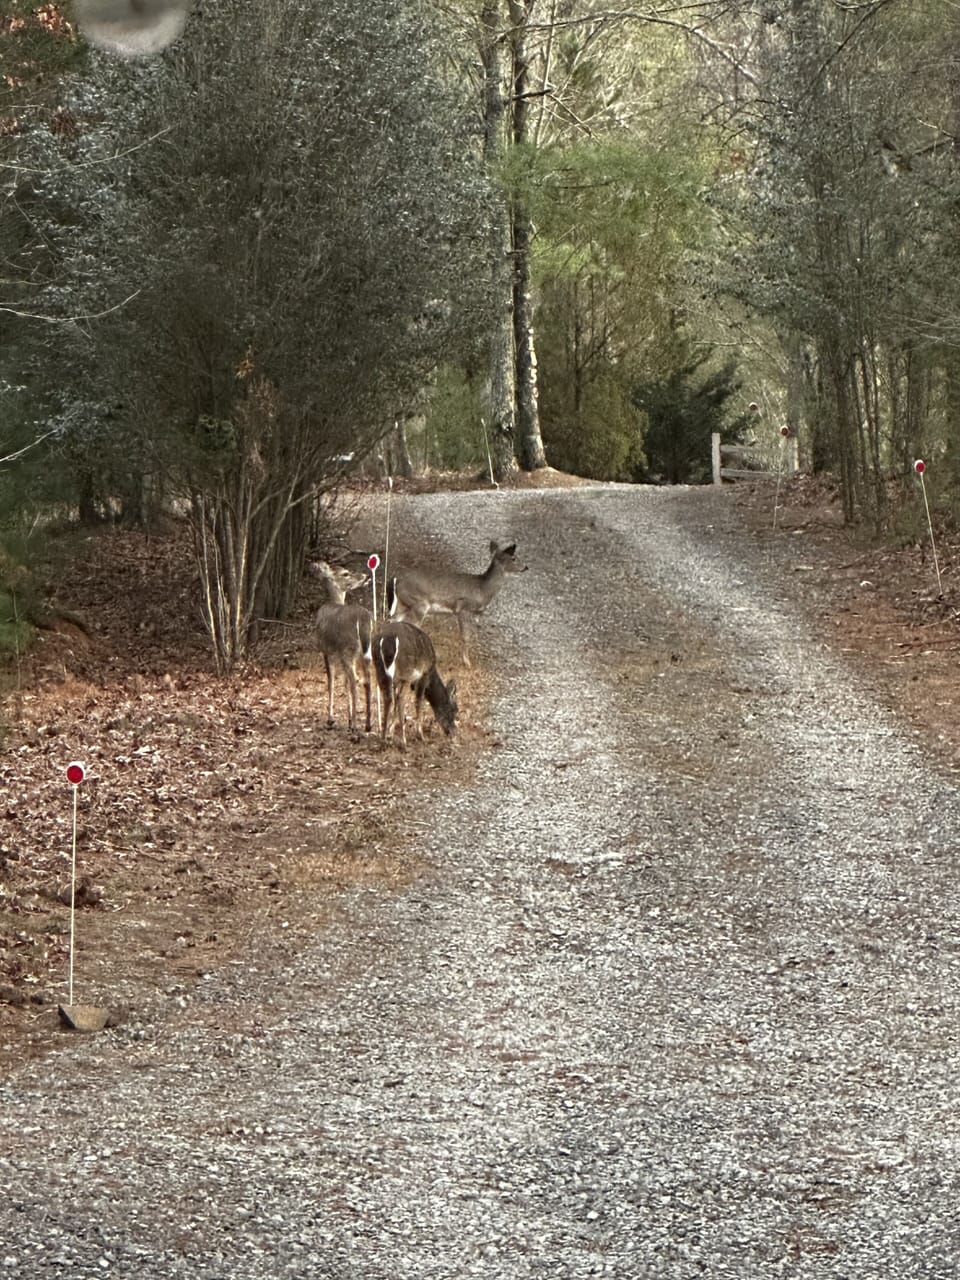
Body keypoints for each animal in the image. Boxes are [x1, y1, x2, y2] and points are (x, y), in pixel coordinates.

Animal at [308, 561, 374, 734]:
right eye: (345, 573)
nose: (365, 576)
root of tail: (363, 620)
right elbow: (343, 683)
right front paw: (349, 720)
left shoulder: (325, 650)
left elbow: (331, 681)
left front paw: (331, 719)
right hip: (365, 652)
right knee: (367, 680)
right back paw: (367, 724)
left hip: (348, 650)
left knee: (355, 681)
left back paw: (356, 729)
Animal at [374, 620, 458, 749]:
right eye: (453, 710)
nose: (453, 731)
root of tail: (389, 639)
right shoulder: (424, 674)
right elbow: (419, 701)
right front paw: (420, 735)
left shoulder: (398, 681)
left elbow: (395, 702)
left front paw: (390, 732)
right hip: (405, 671)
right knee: (401, 698)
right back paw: (404, 742)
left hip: (380, 668)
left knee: (388, 697)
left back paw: (383, 739)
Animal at [386, 539, 527, 667]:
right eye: (514, 558)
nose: (525, 567)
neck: (483, 589)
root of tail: (396, 579)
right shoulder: (464, 609)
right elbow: (465, 636)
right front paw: (467, 663)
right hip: (419, 603)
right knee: (410, 624)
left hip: (402, 603)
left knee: (394, 620)